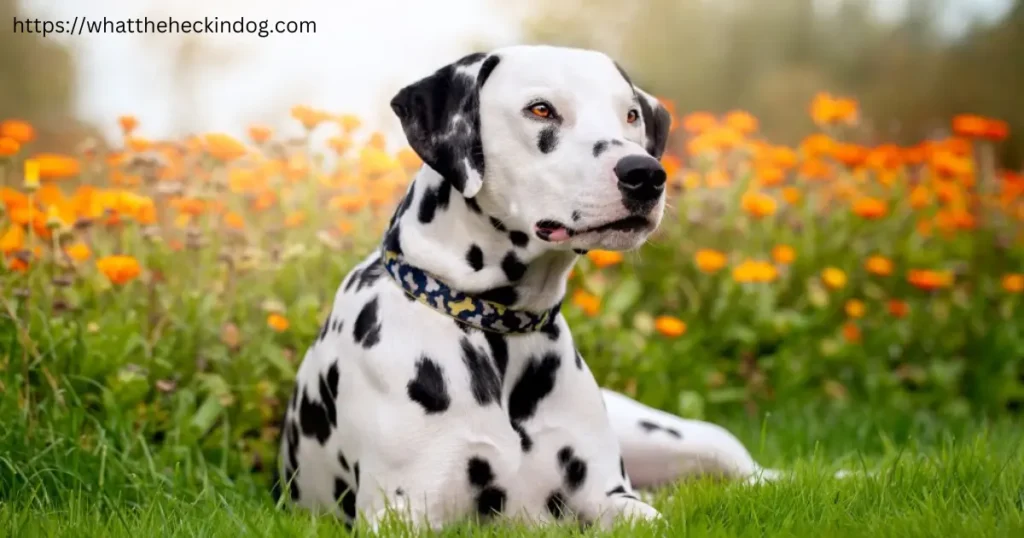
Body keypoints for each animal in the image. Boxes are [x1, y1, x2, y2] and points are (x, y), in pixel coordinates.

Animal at [274, 44, 774, 528]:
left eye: (631, 114)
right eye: (541, 109)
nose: (645, 173)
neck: (496, 328)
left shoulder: (614, 500)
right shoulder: (401, 512)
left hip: (680, 438)